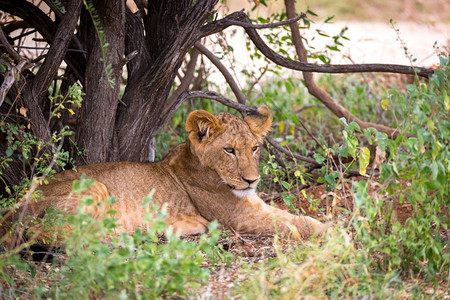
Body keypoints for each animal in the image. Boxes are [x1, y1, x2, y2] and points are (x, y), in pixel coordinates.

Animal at [0, 104, 324, 245]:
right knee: (43, 233)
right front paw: (329, 231)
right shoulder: (240, 218)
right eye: (229, 150)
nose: (251, 180)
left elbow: (290, 216)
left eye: (255, 148)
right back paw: (123, 236)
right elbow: (294, 223)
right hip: (93, 186)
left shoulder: (254, 206)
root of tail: (9, 215)